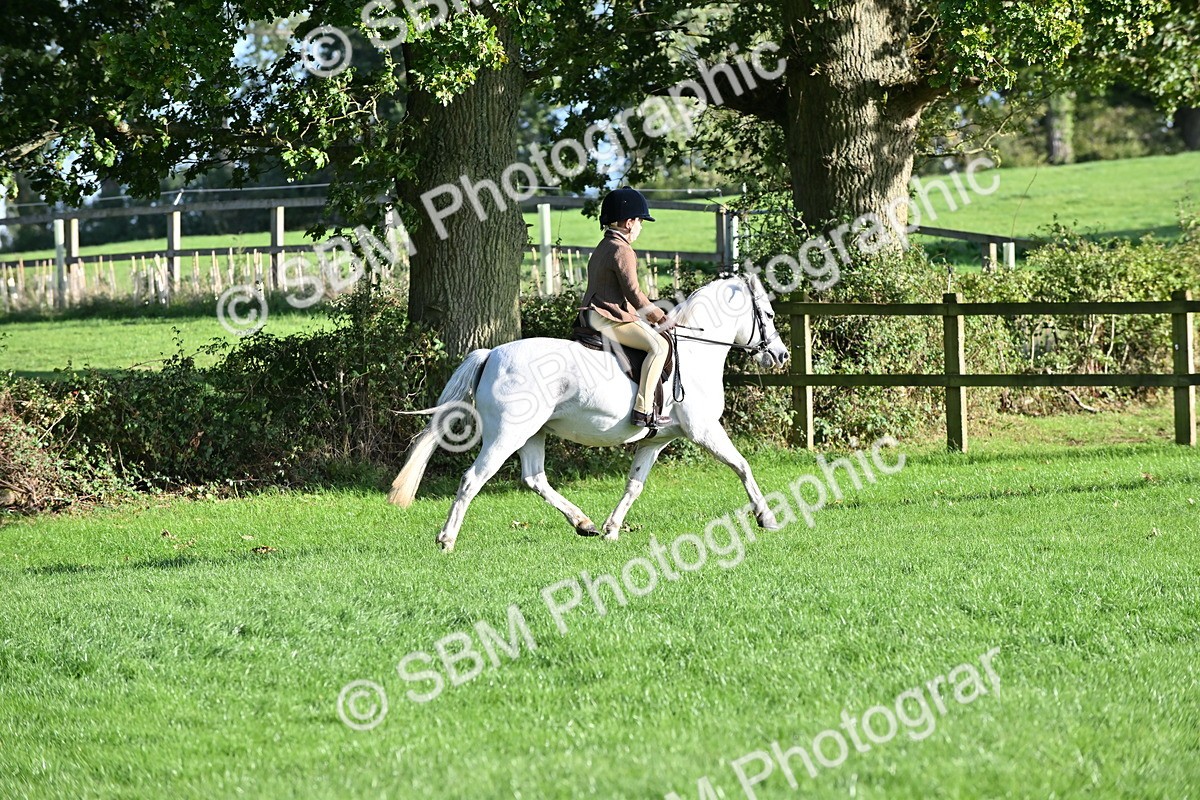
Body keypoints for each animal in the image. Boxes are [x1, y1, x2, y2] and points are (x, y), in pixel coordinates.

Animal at [388, 273, 792, 551]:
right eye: (769, 313)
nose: (781, 355)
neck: (695, 351)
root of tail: (491, 355)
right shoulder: (704, 429)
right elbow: (742, 466)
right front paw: (767, 517)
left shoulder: (656, 441)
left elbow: (634, 484)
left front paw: (612, 529)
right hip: (507, 435)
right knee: (473, 479)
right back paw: (447, 539)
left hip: (533, 433)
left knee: (534, 478)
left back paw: (584, 523)